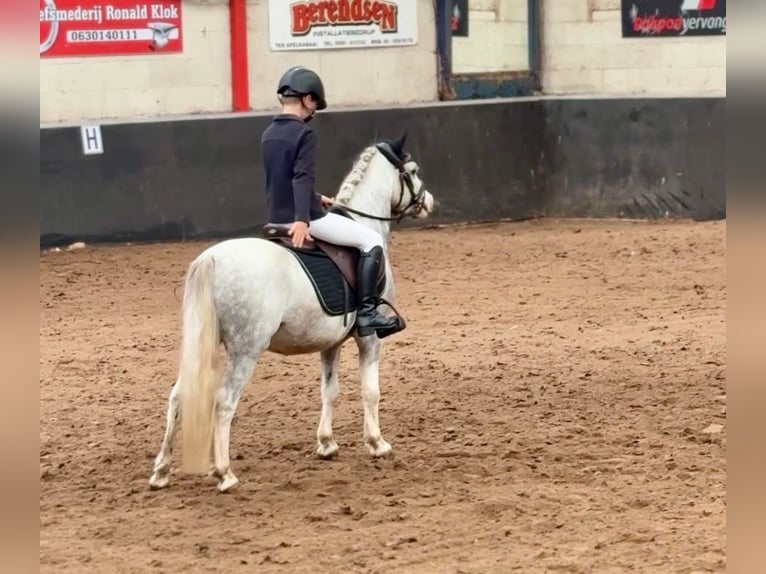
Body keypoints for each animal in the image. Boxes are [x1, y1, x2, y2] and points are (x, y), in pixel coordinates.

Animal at [148, 132, 435, 493]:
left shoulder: (331, 342)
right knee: (224, 402)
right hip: (246, 350)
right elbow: (371, 391)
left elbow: (330, 391)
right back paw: (225, 474)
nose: (429, 202)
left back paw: (161, 471)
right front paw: (377, 443)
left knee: (177, 397)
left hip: (206, 344)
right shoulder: (370, 339)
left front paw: (326, 443)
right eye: (414, 171)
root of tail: (210, 259)